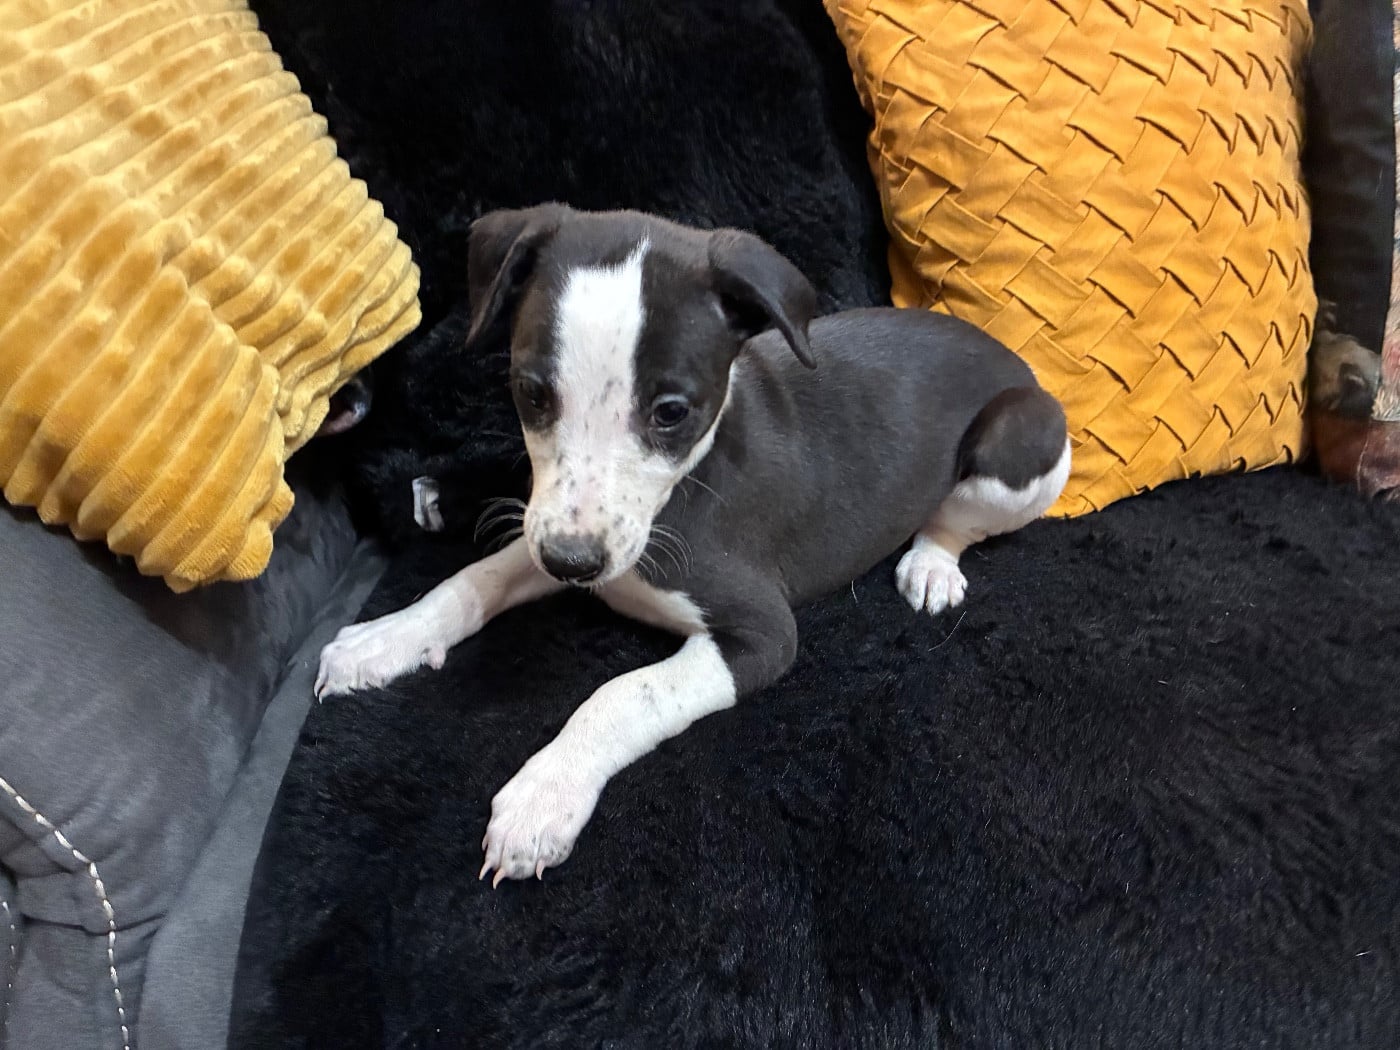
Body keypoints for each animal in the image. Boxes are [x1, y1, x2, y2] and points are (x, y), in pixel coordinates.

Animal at [315, 204, 1071, 884]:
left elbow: (623, 694)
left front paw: (545, 794)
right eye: (531, 393)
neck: (679, 494)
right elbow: (474, 579)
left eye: (670, 413)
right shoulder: (557, 533)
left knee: (956, 518)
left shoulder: (763, 635)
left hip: (1020, 445)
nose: (572, 563)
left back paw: (931, 565)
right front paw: (389, 636)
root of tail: (1008, 355)